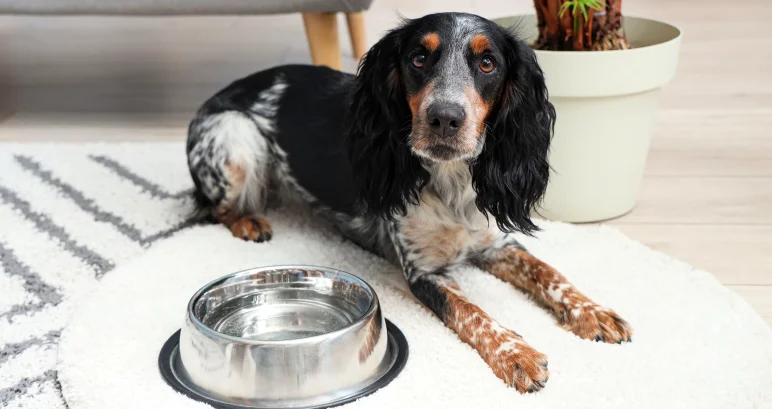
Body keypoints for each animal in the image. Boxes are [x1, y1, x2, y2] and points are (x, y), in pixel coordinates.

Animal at [187, 11, 632, 390]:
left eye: (488, 63)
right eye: (419, 57)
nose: (445, 118)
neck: (452, 182)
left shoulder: (496, 245)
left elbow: (550, 273)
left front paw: (594, 313)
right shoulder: (424, 271)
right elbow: (471, 312)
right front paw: (516, 353)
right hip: (236, 137)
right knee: (213, 205)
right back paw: (249, 221)